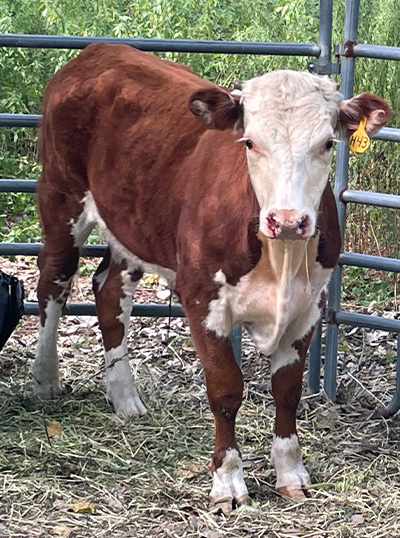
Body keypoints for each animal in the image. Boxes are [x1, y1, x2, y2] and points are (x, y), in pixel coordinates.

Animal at [32, 43, 390, 510]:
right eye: (250, 142)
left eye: (328, 143)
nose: (287, 221)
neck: (279, 257)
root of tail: (99, 50)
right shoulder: (202, 298)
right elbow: (225, 390)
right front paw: (228, 481)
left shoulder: (308, 307)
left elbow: (287, 390)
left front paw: (291, 474)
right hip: (60, 195)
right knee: (53, 281)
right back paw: (45, 379)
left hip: (133, 226)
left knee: (109, 293)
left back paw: (125, 398)